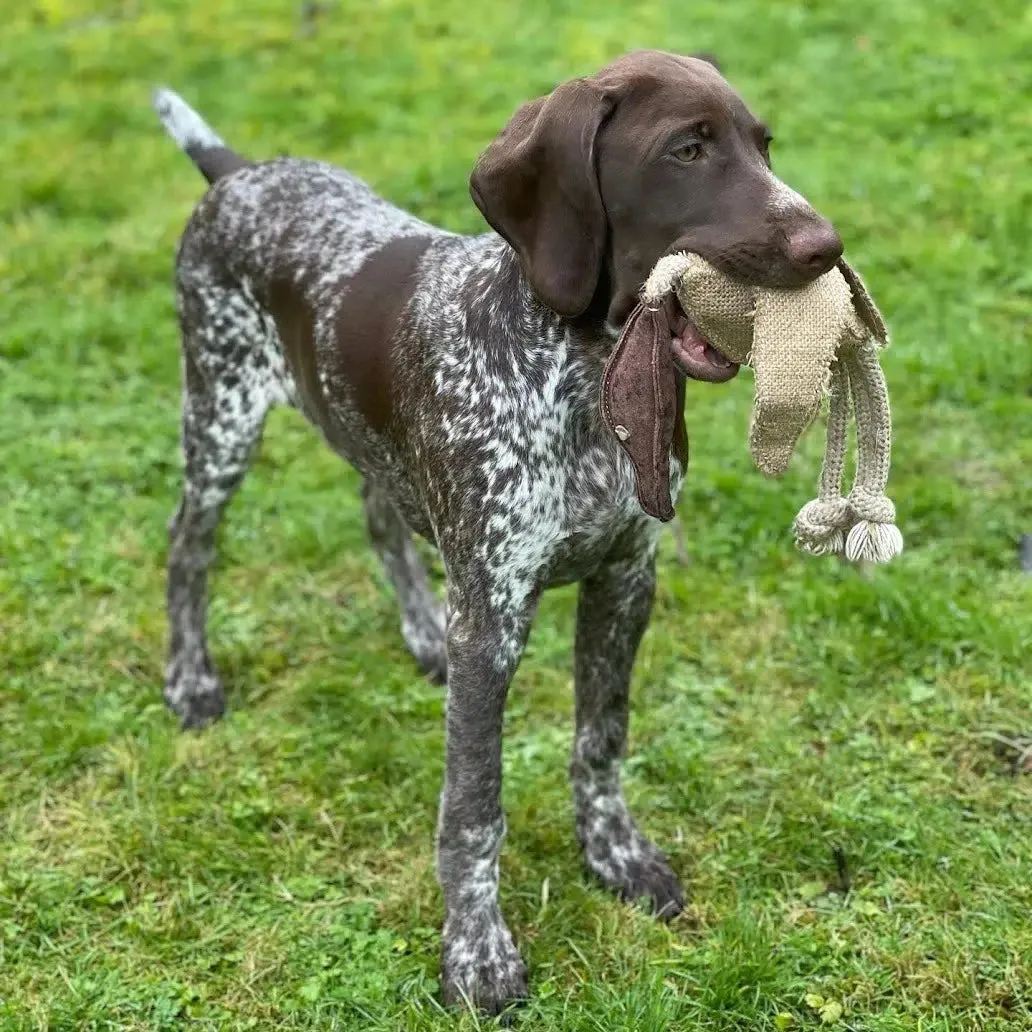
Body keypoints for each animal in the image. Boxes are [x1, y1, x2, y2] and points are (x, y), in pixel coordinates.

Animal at [154, 52, 846, 1011]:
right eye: (688, 148)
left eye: (762, 144)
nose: (827, 245)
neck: (577, 377)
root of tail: (239, 171)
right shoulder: (493, 622)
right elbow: (474, 808)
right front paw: (476, 952)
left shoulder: (625, 581)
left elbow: (601, 742)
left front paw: (615, 856)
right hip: (220, 417)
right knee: (189, 547)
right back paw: (191, 681)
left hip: (371, 445)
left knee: (379, 513)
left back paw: (418, 633)